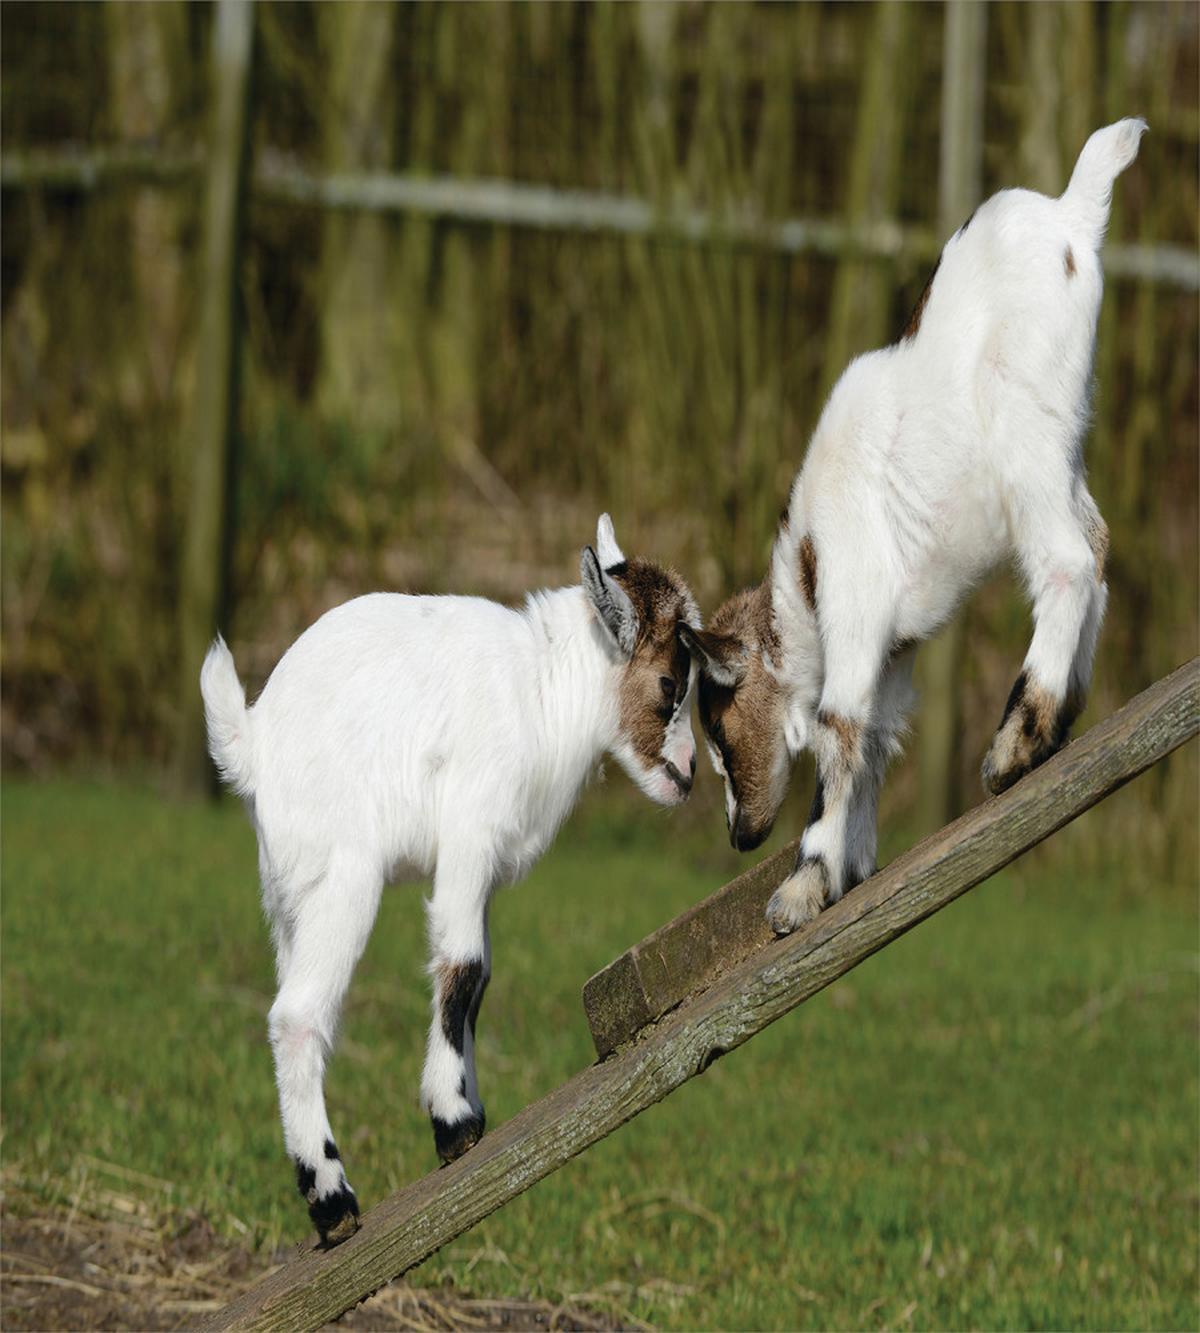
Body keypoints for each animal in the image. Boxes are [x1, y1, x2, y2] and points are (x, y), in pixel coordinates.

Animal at [200, 515, 699, 1244]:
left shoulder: (480, 865)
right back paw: (333, 1200)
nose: (688, 776)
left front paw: (470, 1111)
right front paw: (454, 1124)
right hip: (344, 878)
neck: (541, 688)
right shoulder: (470, 829)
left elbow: (479, 976)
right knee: (297, 1014)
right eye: (668, 682)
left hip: (289, 896)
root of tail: (252, 743)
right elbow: (462, 965)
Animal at [680, 118, 1146, 935]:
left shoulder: (855, 606)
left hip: (1022, 433)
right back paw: (1051, 729)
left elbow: (838, 730)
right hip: (1063, 441)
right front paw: (851, 872)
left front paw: (802, 888)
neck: (804, 572)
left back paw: (1017, 740)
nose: (738, 835)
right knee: (1094, 545)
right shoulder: (893, 656)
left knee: (1066, 560)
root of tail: (1071, 213)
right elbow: (872, 741)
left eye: (720, 730)